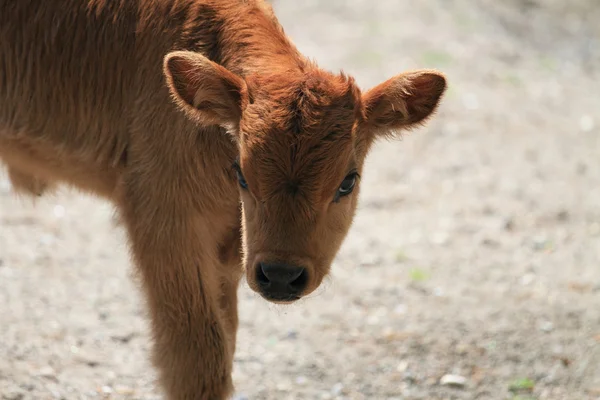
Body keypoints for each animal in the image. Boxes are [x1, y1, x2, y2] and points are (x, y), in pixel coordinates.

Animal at [0, 1, 446, 398]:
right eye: (242, 174)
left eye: (347, 182)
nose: (281, 275)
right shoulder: (165, 223)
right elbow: (198, 361)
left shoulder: (230, 249)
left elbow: (225, 340)